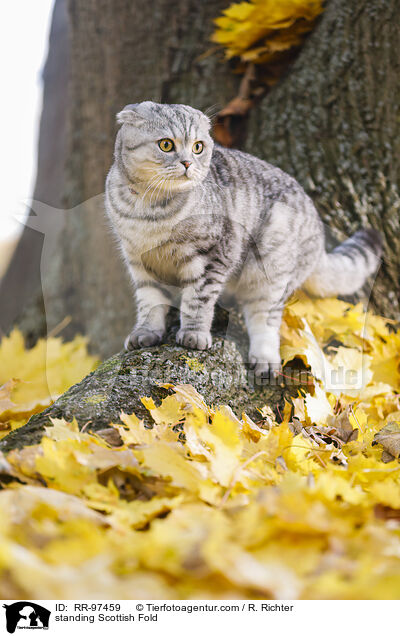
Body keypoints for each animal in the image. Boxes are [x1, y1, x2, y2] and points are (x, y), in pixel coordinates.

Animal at [104, 101, 382, 376]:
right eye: (166, 144)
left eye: (198, 147)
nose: (187, 163)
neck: (150, 209)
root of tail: (316, 225)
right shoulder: (139, 261)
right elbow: (150, 301)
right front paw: (146, 332)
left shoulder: (215, 256)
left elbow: (198, 300)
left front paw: (194, 333)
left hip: (269, 270)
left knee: (265, 320)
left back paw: (264, 360)